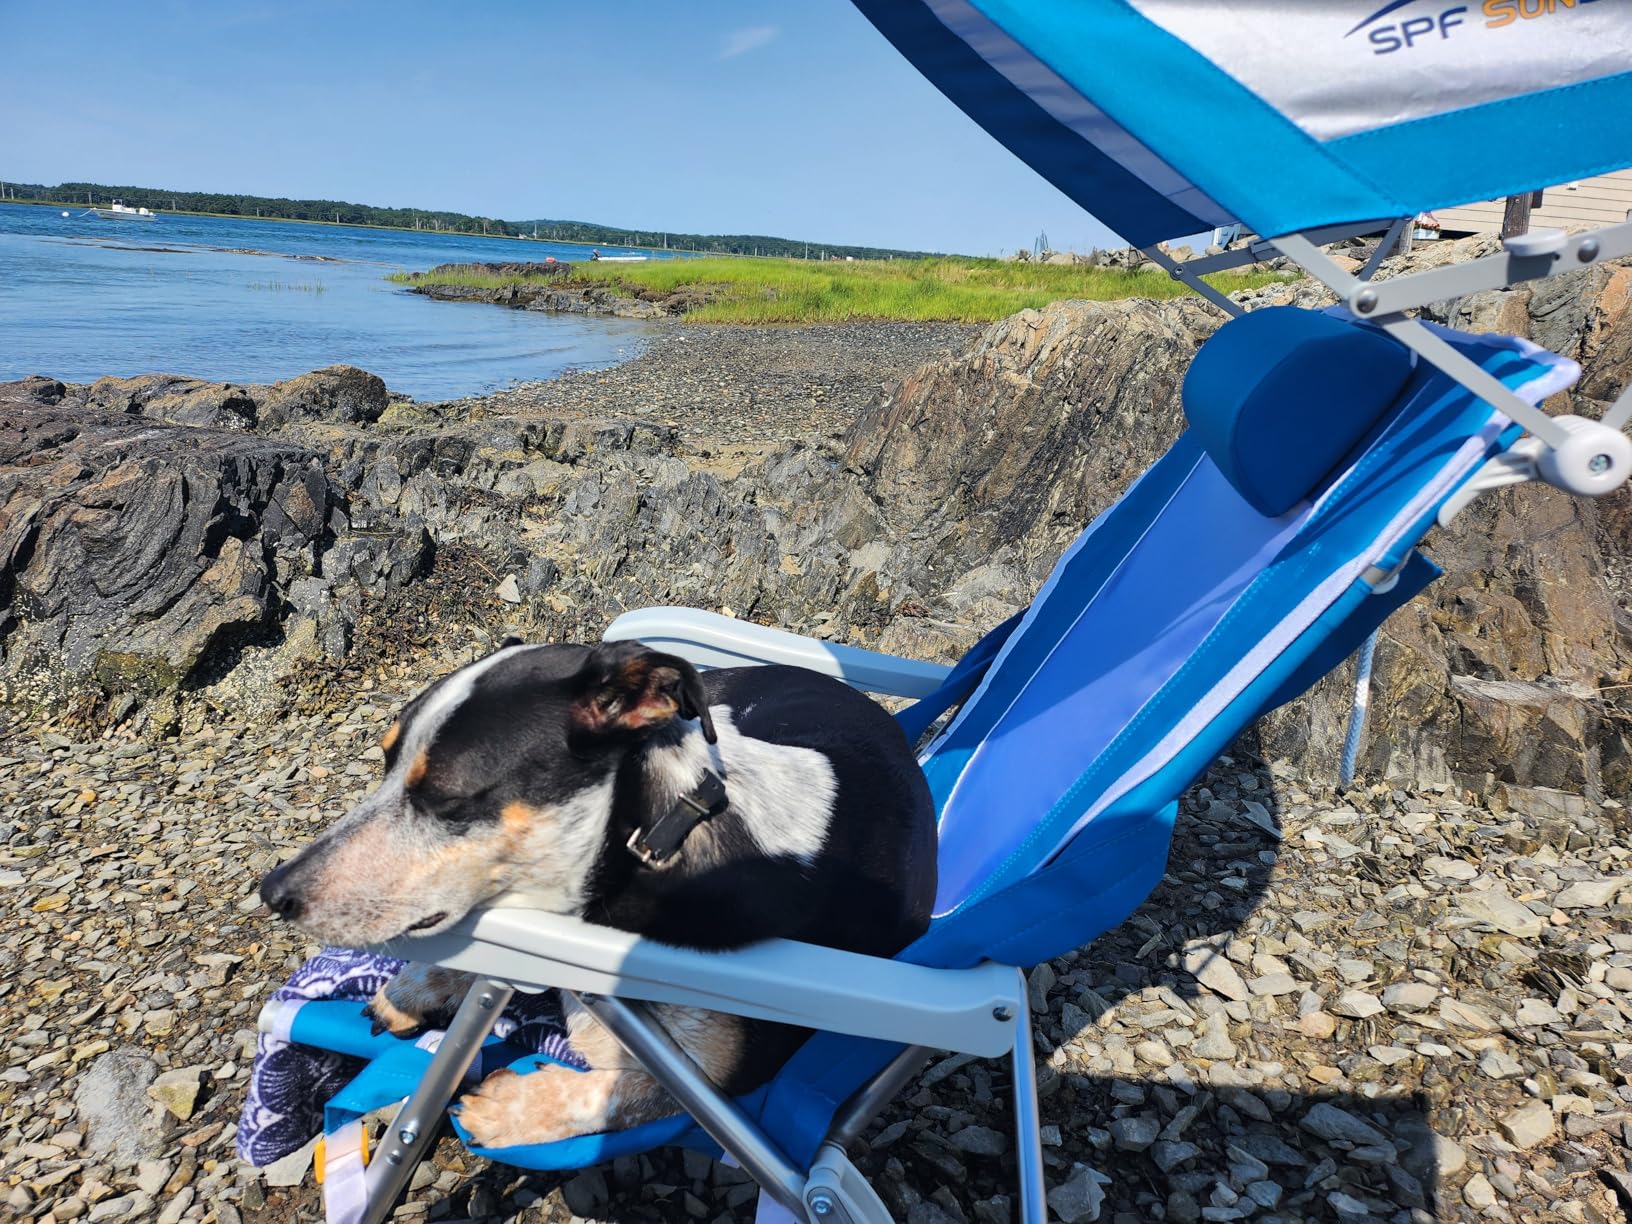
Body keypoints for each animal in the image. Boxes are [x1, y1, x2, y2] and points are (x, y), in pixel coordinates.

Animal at [261, 643, 940, 1148]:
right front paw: (424, 984)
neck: (654, 844)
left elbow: (625, 1090)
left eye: (445, 797)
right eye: (384, 764)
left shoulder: (736, 1071)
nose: (272, 893)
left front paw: (507, 1108)